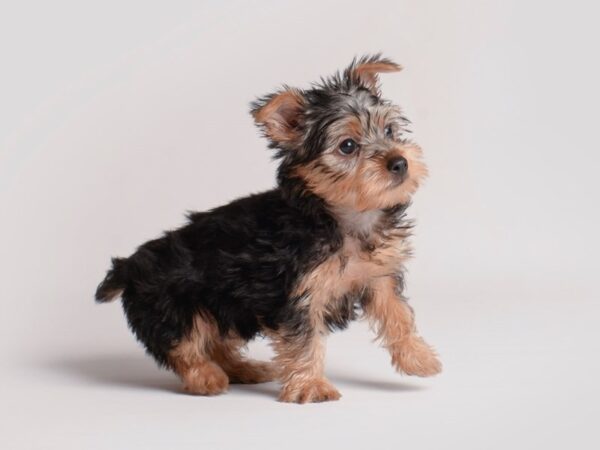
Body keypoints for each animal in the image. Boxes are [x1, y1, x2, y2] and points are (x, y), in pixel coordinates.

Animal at [95, 54, 440, 402]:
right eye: (347, 146)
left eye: (389, 129)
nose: (399, 162)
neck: (345, 217)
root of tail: (128, 266)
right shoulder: (294, 295)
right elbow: (304, 341)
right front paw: (312, 386)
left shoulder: (378, 275)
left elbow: (397, 313)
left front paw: (418, 358)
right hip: (175, 305)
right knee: (184, 344)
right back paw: (207, 377)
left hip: (229, 309)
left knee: (218, 342)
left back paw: (244, 369)